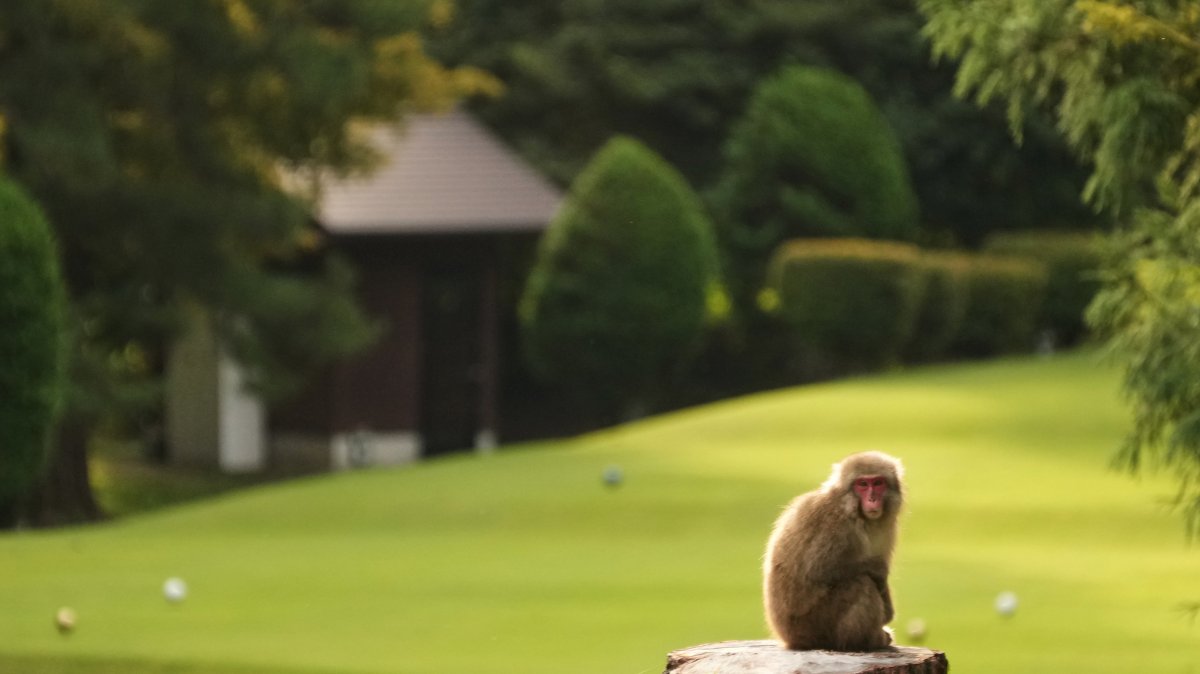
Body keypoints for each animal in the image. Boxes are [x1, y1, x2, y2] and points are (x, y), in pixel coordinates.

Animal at [763, 451, 904, 651]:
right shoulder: (835, 524)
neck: (853, 510)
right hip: (816, 625)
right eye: (862, 484)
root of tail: (791, 639)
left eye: (878, 482)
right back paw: (865, 641)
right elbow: (819, 570)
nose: (872, 499)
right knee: (860, 582)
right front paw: (879, 570)